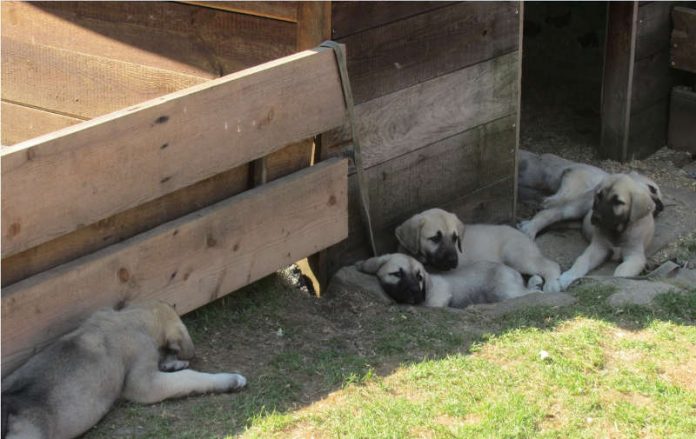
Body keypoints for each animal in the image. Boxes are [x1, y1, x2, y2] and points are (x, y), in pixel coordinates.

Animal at [356, 253, 540, 308]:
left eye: (419, 277)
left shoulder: (441, 298)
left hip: (503, 292)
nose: (415, 291)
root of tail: (514, 272)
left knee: (533, 292)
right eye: (397, 274)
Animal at [394, 208, 564, 294]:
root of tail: (523, 234)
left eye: (455, 238)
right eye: (435, 238)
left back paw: (552, 285)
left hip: (517, 256)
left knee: (551, 266)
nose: (453, 261)